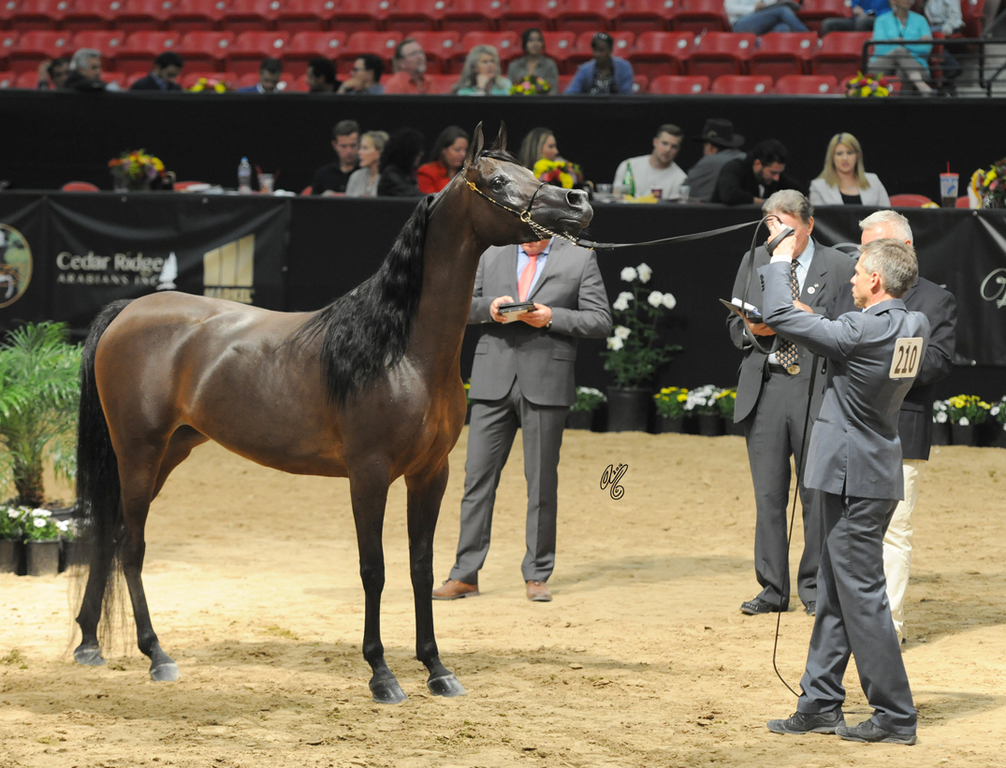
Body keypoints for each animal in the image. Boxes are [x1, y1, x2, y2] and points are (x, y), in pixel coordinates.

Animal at [71, 123, 593, 704]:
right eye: (499, 181)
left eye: (528, 170)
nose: (578, 201)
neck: (400, 349)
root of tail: (128, 310)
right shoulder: (368, 475)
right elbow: (374, 570)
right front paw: (382, 673)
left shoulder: (430, 474)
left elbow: (420, 567)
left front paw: (436, 668)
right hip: (139, 450)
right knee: (132, 544)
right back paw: (156, 655)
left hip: (168, 451)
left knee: (109, 533)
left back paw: (89, 644)